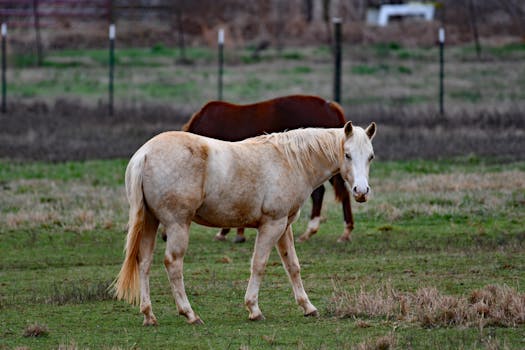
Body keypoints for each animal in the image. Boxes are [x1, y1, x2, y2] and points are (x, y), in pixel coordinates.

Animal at [116, 121, 374, 324]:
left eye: (370, 156)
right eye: (348, 154)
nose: (361, 191)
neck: (291, 161)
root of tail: (144, 154)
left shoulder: (284, 227)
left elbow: (293, 266)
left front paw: (308, 307)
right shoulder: (272, 225)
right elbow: (259, 264)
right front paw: (253, 309)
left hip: (150, 222)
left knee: (144, 262)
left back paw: (149, 315)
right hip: (178, 225)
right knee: (173, 263)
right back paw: (189, 314)